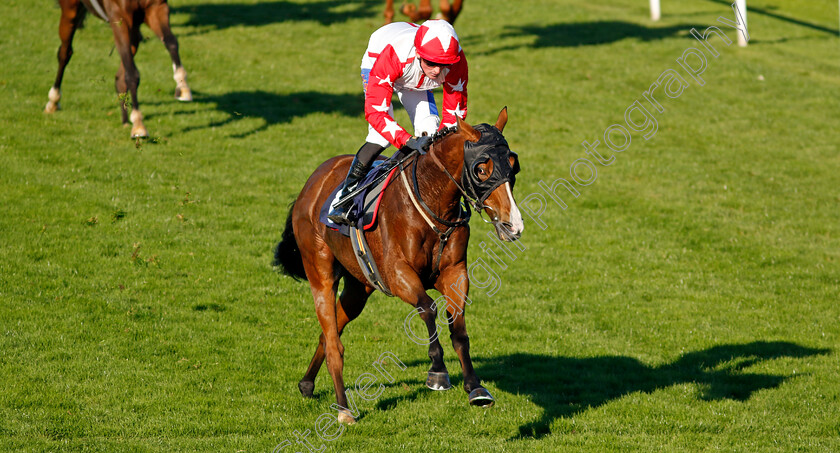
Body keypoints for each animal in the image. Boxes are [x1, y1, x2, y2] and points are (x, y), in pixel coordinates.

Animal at [44, 0, 194, 139]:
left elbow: (171, 42)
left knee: (120, 75)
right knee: (65, 53)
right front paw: (139, 126)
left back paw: (125, 118)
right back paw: (53, 99)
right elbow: (132, 74)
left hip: (133, 29)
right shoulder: (119, 16)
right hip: (70, 10)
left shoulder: (156, 7)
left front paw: (182, 87)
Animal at [272, 107, 520, 424]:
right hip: (320, 273)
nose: (513, 225)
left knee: (330, 333)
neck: (431, 202)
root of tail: (314, 180)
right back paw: (343, 409)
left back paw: (307, 384)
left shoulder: (455, 273)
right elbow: (428, 308)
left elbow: (458, 328)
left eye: (513, 166)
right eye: (481, 169)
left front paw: (475, 387)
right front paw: (438, 371)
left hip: (358, 288)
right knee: (334, 343)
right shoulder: (397, 274)